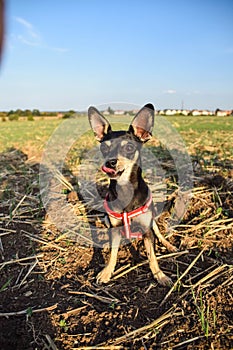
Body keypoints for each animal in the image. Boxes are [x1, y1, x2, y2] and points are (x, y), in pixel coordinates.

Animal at [88, 104, 177, 284]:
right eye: (104, 147)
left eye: (129, 147)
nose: (110, 162)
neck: (125, 189)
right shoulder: (115, 228)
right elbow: (113, 254)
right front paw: (106, 272)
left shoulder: (147, 230)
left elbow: (152, 256)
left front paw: (160, 276)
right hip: (107, 220)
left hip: (152, 220)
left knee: (159, 232)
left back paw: (169, 245)